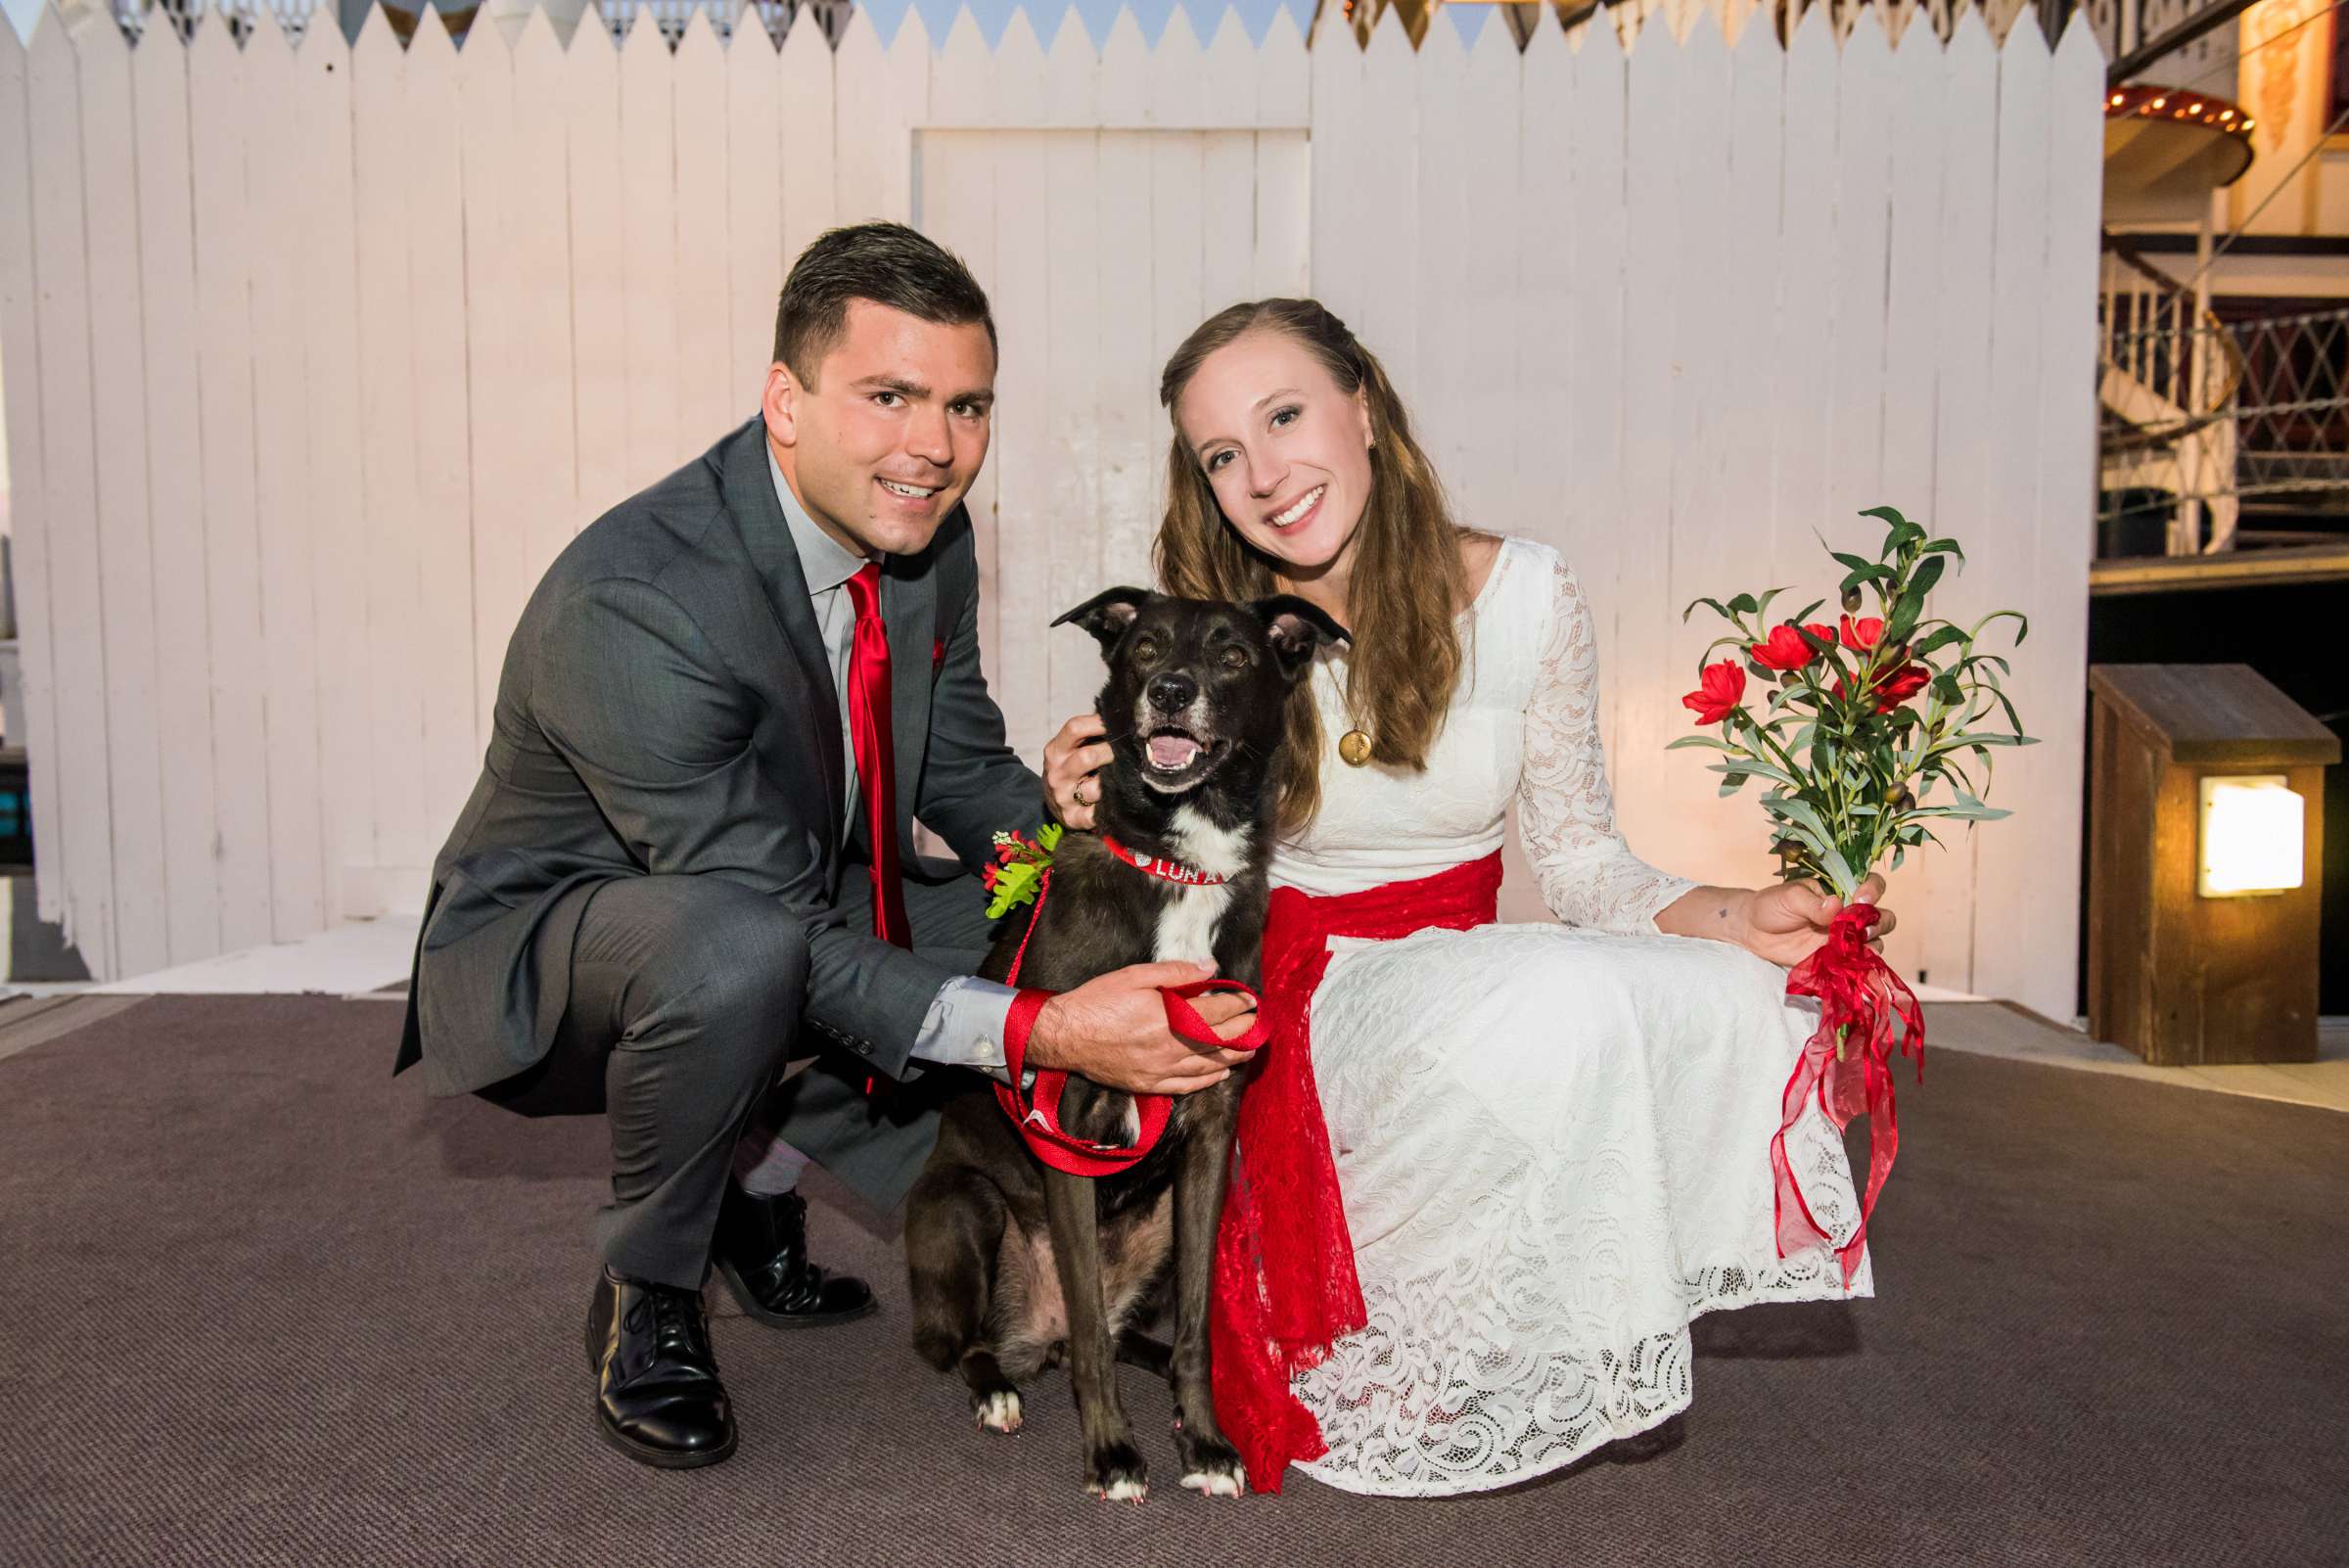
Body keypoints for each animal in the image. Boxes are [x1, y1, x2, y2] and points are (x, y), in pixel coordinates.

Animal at [897, 584, 1343, 1493]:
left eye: (1233, 654)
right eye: (1144, 647)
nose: (1170, 689)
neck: (1183, 863)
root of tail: (1038, 1334)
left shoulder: (1210, 1135)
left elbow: (1198, 1327)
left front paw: (1204, 1441)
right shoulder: (1066, 1131)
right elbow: (1093, 1352)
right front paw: (1111, 1453)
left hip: (1162, 1220)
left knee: (1119, 1331)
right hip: (965, 1206)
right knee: (996, 1343)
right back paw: (998, 1388)